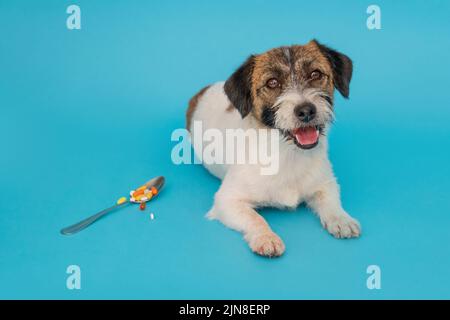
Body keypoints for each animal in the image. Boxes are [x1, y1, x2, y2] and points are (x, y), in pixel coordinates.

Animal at [185, 40, 358, 256]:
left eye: (315, 74)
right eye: (272, 83)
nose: (306, 110)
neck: (288, 153)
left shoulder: (325, 183)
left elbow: (330, 200)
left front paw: (341, 219)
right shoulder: (227, 200)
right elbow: (255, 218)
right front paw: (266, 237)